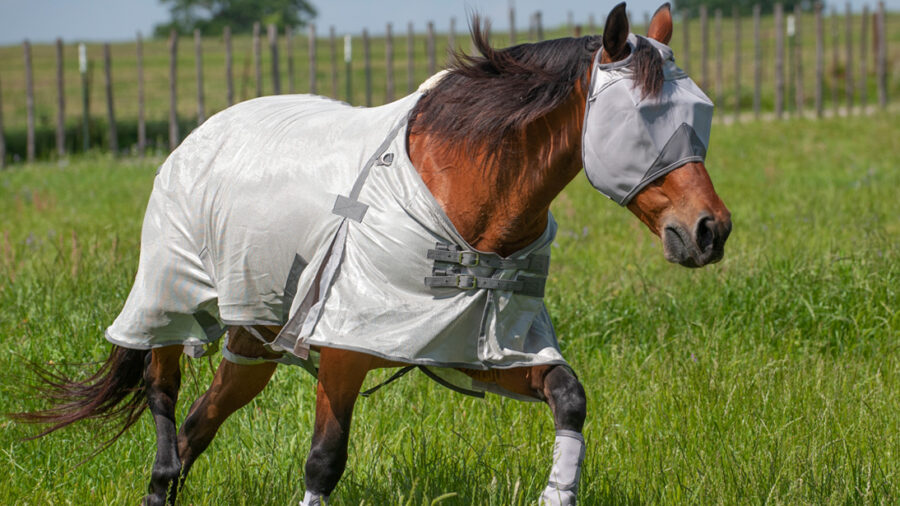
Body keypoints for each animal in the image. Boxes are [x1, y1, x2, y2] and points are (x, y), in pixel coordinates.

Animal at [16, 3, 731, 505]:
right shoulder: (345, 348)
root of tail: (199, 135)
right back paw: (160, 473)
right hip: (174, 295)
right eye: (642, 118)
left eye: (702, 110)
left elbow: (568, 395)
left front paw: (558, 490)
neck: (465, 195)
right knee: (163, 389)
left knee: (201, 421)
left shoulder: (475, 345)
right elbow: (324, 461)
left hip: (254, 340)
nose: (710, 230)